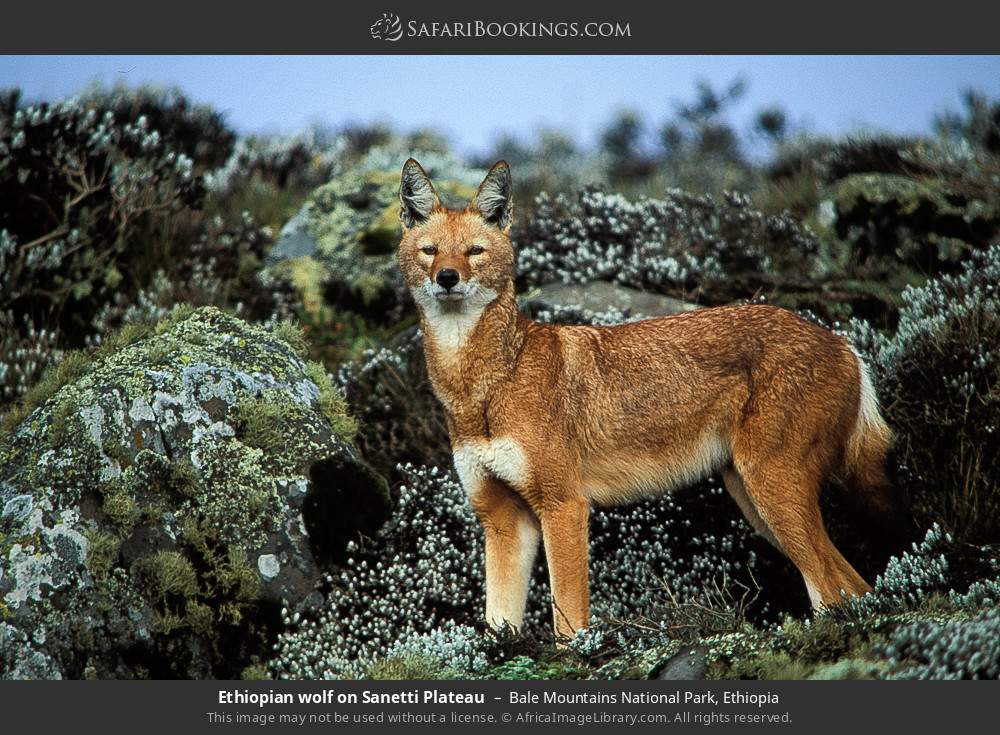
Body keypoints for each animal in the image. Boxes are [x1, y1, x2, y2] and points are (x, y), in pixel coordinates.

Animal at [395, 158, 895, 640]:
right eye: (430, 251)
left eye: (474, 251)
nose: (447, 277)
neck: (484, 385)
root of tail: (844, 344)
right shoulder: (503, 521)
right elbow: (497, 625)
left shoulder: (564, 506)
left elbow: (568, 627)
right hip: (756, 505)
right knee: (852, 586)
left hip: (772, 496)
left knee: (835, 588)